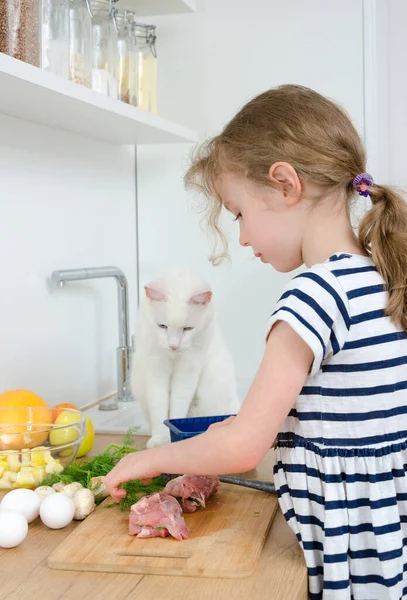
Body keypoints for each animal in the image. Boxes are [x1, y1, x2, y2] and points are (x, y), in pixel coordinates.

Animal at [131, 270, 241, 448]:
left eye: (188, 328)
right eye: (162, 326)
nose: (173, 346)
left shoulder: (189, 367)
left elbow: (178, 401)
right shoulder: (155, 365)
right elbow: (158, 404)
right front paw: (160, 439)